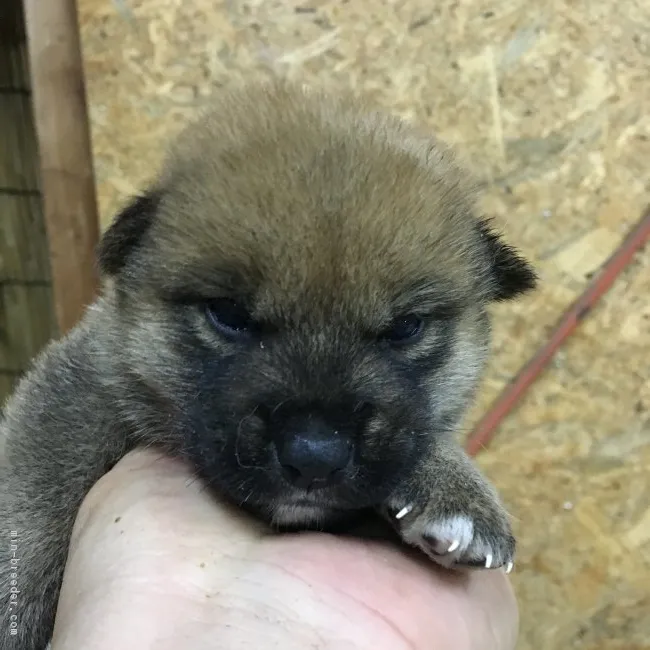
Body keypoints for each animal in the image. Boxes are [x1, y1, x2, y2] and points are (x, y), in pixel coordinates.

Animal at [1, 82, 532, 648]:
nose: (315, 457)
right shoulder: (81, 388)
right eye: (229, 314)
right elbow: (36, 507)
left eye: (406, 328)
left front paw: (452, 483)